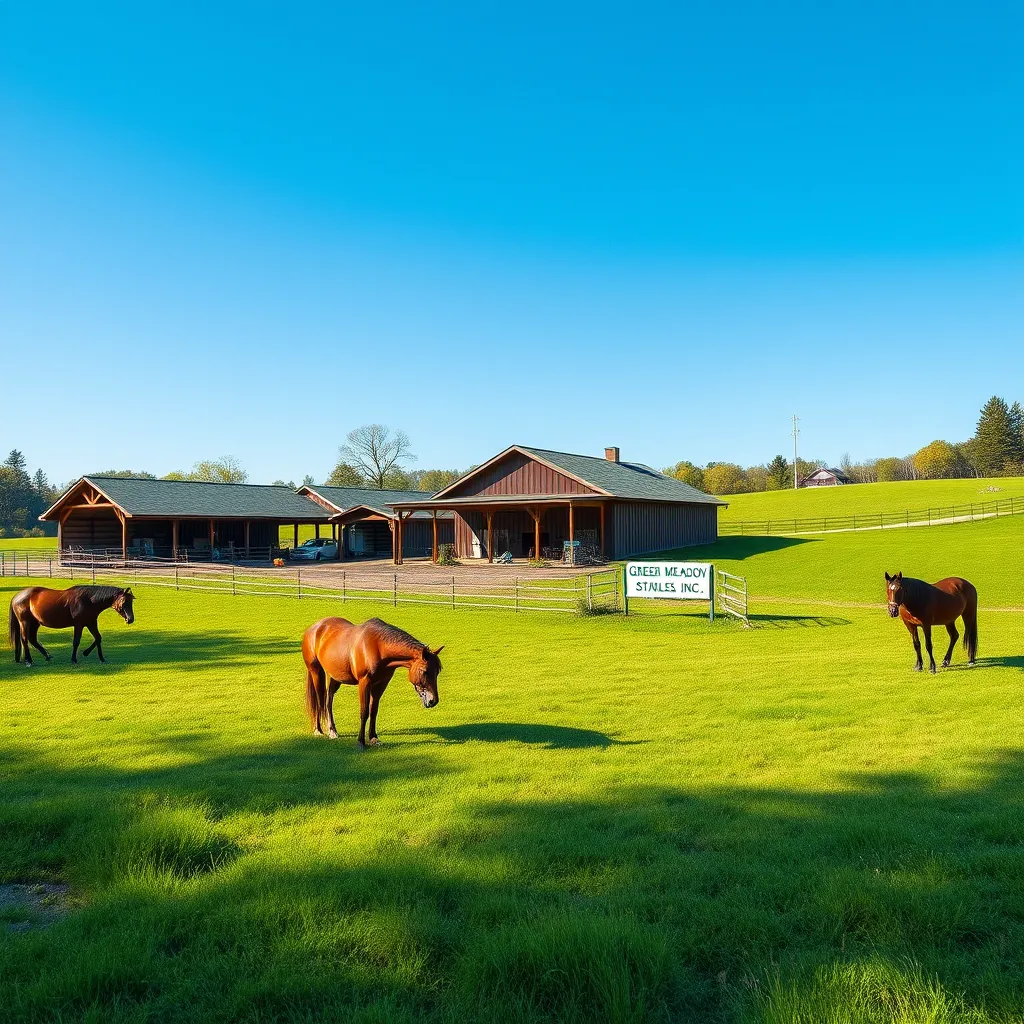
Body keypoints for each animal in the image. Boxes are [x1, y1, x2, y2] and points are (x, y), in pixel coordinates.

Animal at [302, 616, 443, 747]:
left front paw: (373, 738)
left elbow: (373, 711)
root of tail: (313, 628)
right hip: (316, 672)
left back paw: (332, 730)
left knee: (328, 700)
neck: (378, 647)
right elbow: (364, 712)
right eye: (424, 671)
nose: (433, 701)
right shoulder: (364, 682)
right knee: (320, 701)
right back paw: (318, 730)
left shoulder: (381, 684)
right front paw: (361, 742)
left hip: (335, 677)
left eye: (438, 671)